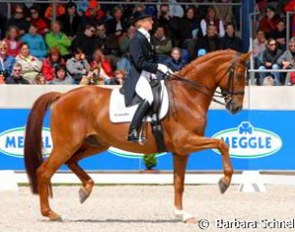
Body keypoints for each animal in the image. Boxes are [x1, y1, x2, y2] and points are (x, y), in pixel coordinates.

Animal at [24, 49, 250, 222]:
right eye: (239, 75)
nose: (236, 107)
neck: (187, 95)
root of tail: (62, 96)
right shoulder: (185, 142)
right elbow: (222, 144)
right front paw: (224, 182)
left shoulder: (181, 151)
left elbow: (179, 183)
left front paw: (181, 214)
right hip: (67, 144)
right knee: (44, 171)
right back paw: (51, 213)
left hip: (95, 143)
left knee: (71, 162)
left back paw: (85, 190)